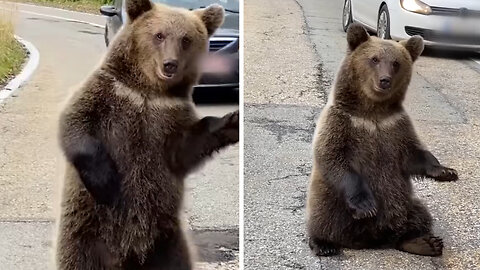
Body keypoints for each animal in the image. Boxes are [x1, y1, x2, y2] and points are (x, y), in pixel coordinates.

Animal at [55, 1, 239, 268]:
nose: (170, 64)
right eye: (159, 35)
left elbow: (187, 148)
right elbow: (76, 125)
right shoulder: (108, 94)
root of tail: (129, 255)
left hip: (168, 244)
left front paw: (232, 121)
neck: (149, 91)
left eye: (186, 39)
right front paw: (106, 183)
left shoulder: (170, 119)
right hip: (86, 237)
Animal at [306, 23, 460, 258]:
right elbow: (334, 157)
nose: (384, 80)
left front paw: (446, 171)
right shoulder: (342, 123)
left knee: (419, 214)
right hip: (329, 200)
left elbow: (414, 154)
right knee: (322, 218)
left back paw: (422, 242)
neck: (373, 113)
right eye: (374, 59)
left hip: (405, 203)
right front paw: (366, 206)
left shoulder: (395, 127)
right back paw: (323, 243)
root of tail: (370, 240)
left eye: (396, 63)